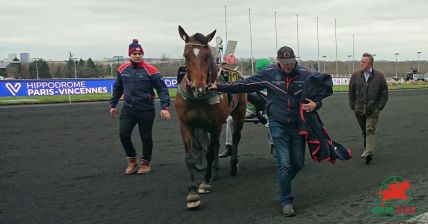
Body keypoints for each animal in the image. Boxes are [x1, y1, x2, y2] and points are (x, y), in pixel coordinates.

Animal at [175, 25, 247, 209]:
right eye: (186, 55)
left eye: (207, 55)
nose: (199, 87)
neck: (198, 98)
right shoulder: (186, 124)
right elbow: (190, 157)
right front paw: (192, 192)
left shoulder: (215, 124)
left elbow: (209, 153)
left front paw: (205, 182)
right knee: (213, 145)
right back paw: (215, 171)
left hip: (239, 113)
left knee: (235, 137)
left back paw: (232, 166)